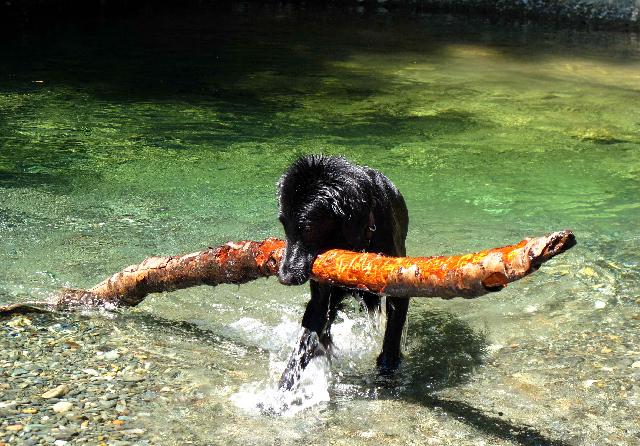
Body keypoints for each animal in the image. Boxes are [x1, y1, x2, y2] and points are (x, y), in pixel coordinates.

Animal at [276, 155, 408, 388]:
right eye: (283, 225)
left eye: (308, 228)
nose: (284, 277)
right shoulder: (320, 299)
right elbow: (304, 343)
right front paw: (281, 390)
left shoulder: (399, 290)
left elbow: (391, 339)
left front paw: (386, 371)